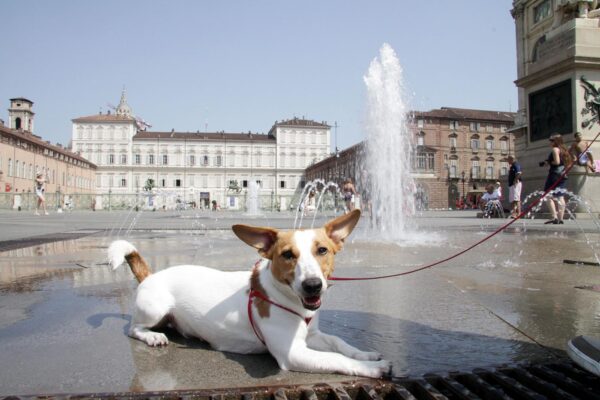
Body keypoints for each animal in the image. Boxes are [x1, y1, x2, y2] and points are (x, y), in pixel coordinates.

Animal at [108, 209, 390, 378]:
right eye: (287, 255)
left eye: (322, 250)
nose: (313, 285)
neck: (286, 299)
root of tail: (150, 275)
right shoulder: (293, 353)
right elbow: (336, 359)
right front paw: (371, 368)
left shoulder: (313, 336)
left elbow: (339, 344)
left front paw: (365, 355)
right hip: (154, 308)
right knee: (134, 328)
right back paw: (152, 336)